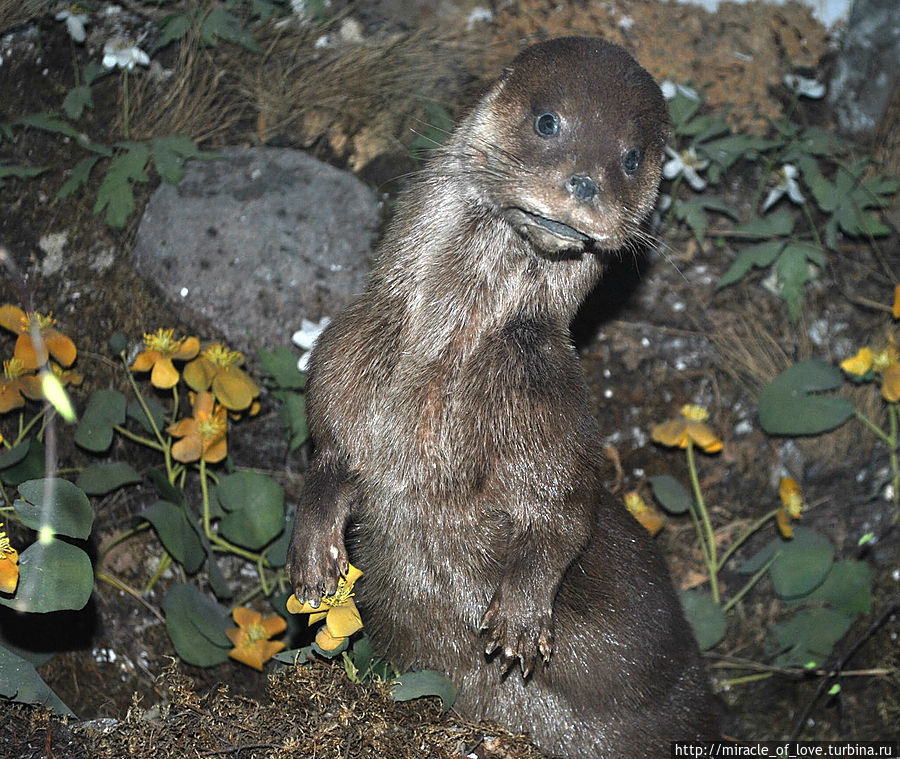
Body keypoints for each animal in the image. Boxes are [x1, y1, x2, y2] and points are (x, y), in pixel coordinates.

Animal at [287, 36, 719, 758]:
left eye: (631, 157)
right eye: (549, 122)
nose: (586, 182)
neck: (443, 370)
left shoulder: (552, 413)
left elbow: (566, 510)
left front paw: (520, 613)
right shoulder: (345, 355)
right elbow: (330, 455)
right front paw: (315, 550)